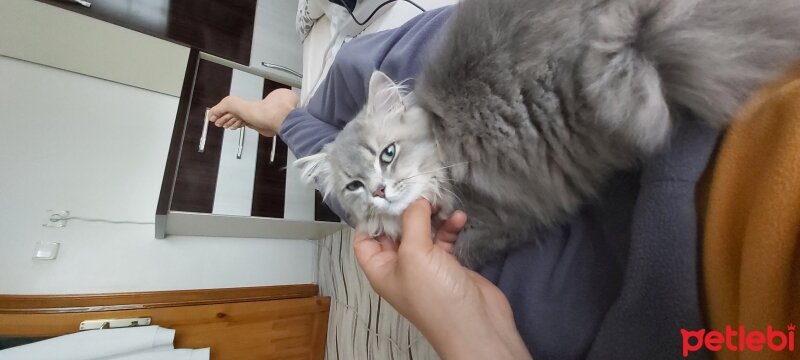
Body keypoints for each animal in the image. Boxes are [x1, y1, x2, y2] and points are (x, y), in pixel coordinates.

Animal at [296, 0, 800, 266]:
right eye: (354, 186)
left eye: (388, 154)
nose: (380, 192)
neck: (445, 138)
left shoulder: (507, 222)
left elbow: (466, 251)